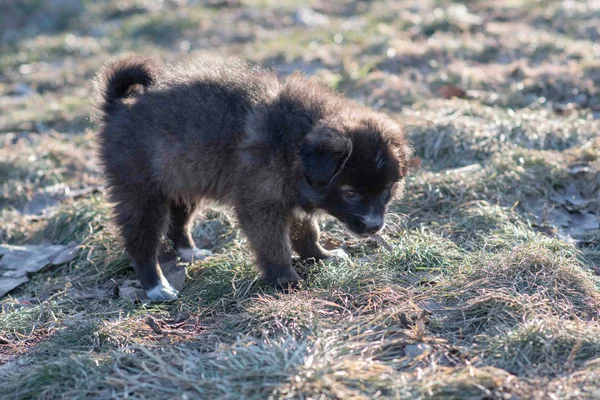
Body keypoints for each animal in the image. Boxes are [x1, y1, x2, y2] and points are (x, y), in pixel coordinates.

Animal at [94, 55, 412, 300]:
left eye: (385, 191)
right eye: (351, 193)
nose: (374, 227)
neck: (293, 144)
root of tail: (119, 107)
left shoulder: (291, 199)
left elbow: (306, 231)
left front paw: (320, 255)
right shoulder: (260, 204)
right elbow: (274, 244)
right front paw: (285, 280)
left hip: (182, 181)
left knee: (179, 223)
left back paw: (190, 252)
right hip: (142, 193)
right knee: (142, 243)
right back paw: (156, 287)